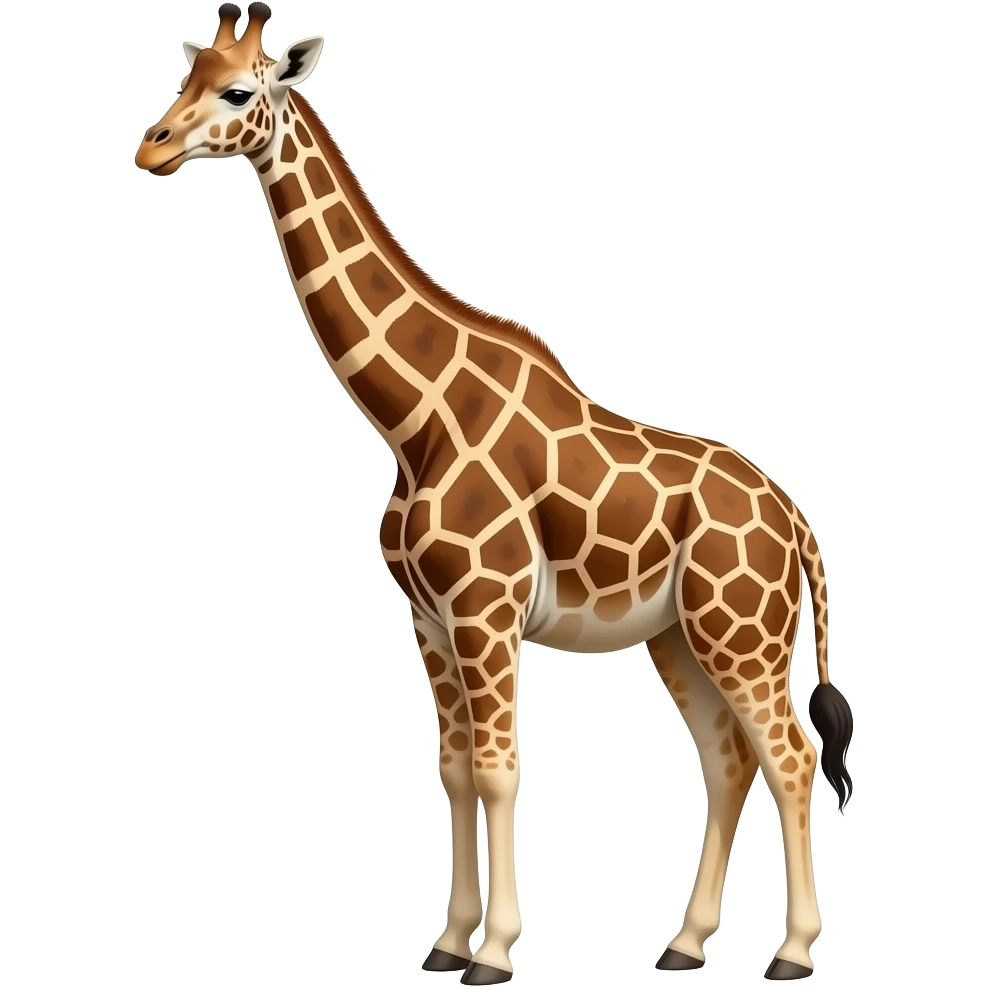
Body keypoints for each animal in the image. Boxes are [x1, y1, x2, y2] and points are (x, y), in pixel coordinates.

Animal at [134, 4, 856, 982]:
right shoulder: (429, 620)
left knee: (791, 753)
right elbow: (451, 768)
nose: (153, 147)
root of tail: (795, 520)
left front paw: (496, 950)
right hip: (678, 634)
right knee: (727, 756)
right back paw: (684, 942)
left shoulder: (486, 608)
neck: (413, 419)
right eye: (187, 76)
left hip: (740, 630)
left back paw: (792, 950)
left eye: (241, 91)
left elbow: (497, 767)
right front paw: (447, 940)